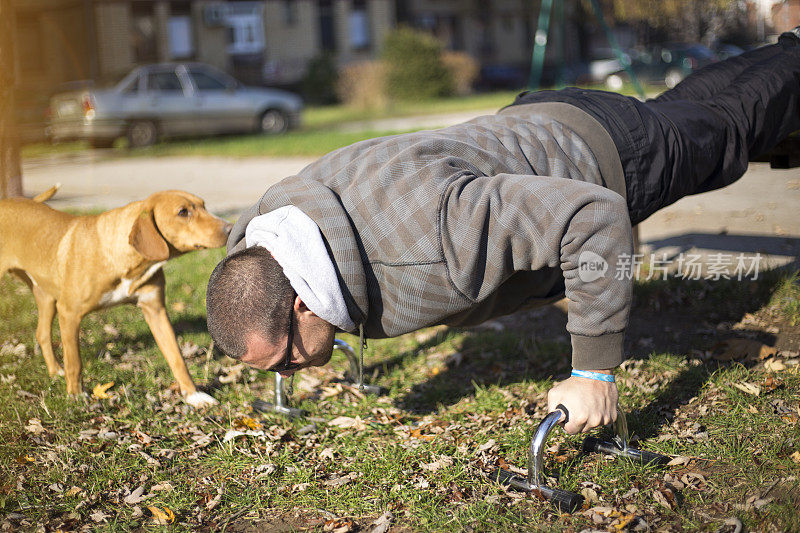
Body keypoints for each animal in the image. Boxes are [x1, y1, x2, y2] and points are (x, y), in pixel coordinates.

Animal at [0, 187, 231, 408]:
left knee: (41, 334)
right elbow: (74, 362)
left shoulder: (156, 310)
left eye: (204, 205)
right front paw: (76, 395)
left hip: (46, 296)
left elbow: (177, 358)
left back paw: (55, 370)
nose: (229, 228)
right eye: (183, 212)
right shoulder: (69, 313)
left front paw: (193, 394)